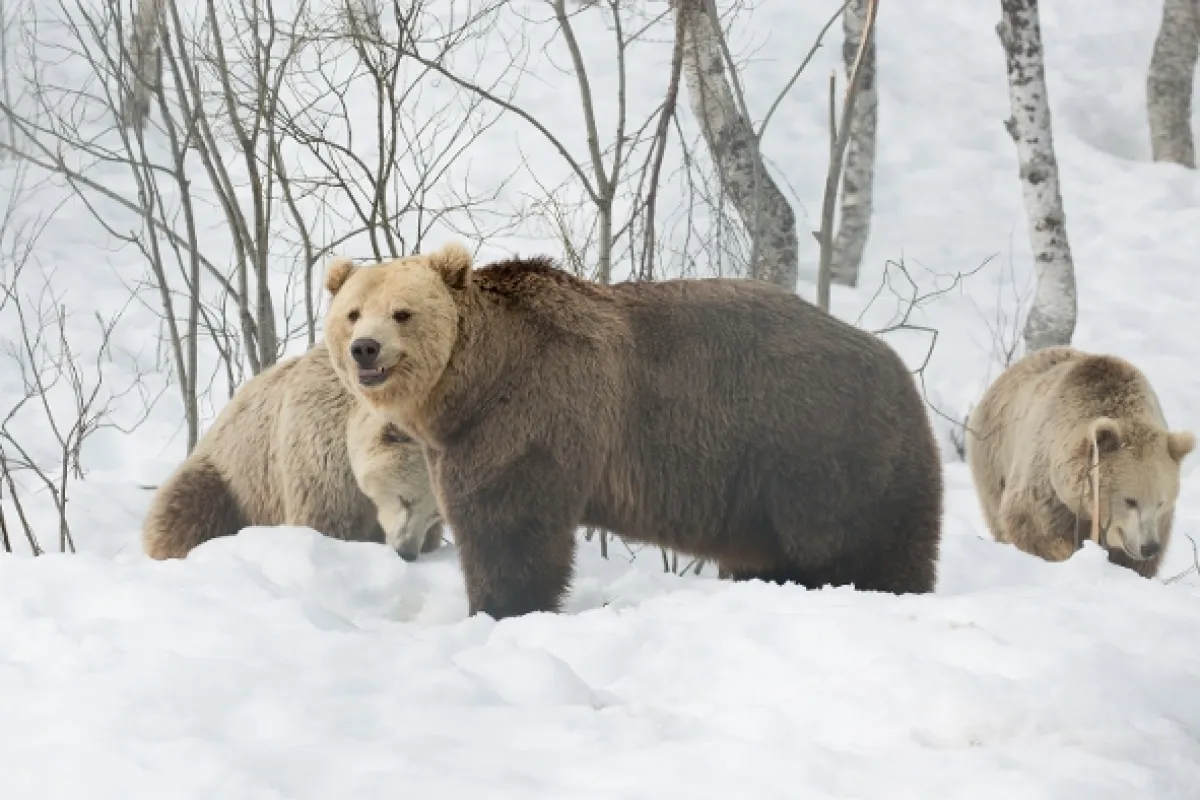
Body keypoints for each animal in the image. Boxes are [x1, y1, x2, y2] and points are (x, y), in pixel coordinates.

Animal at [141, 341, 444, 562]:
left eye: (435, 515)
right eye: (404, 498)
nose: (406, 552)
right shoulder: (322, 460)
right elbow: (328, 522)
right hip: (231, 479)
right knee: (184, 508)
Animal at [320, 242, 945, 620]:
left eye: (402, 313)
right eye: (352, 312)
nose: (365, 348)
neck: (468, 384)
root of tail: (900, 370)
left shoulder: (532, 411)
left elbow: (510, 522)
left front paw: (503, 606)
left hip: (822, 449)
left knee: (868, 546)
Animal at [965, 345, 1195, 578]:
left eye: (1160, 502)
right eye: (1130, 500)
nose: (1149, 547)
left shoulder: (1159, 524)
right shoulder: (1048, 487)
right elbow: (1032, 525)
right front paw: (1066, 554)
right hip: (993, 456)